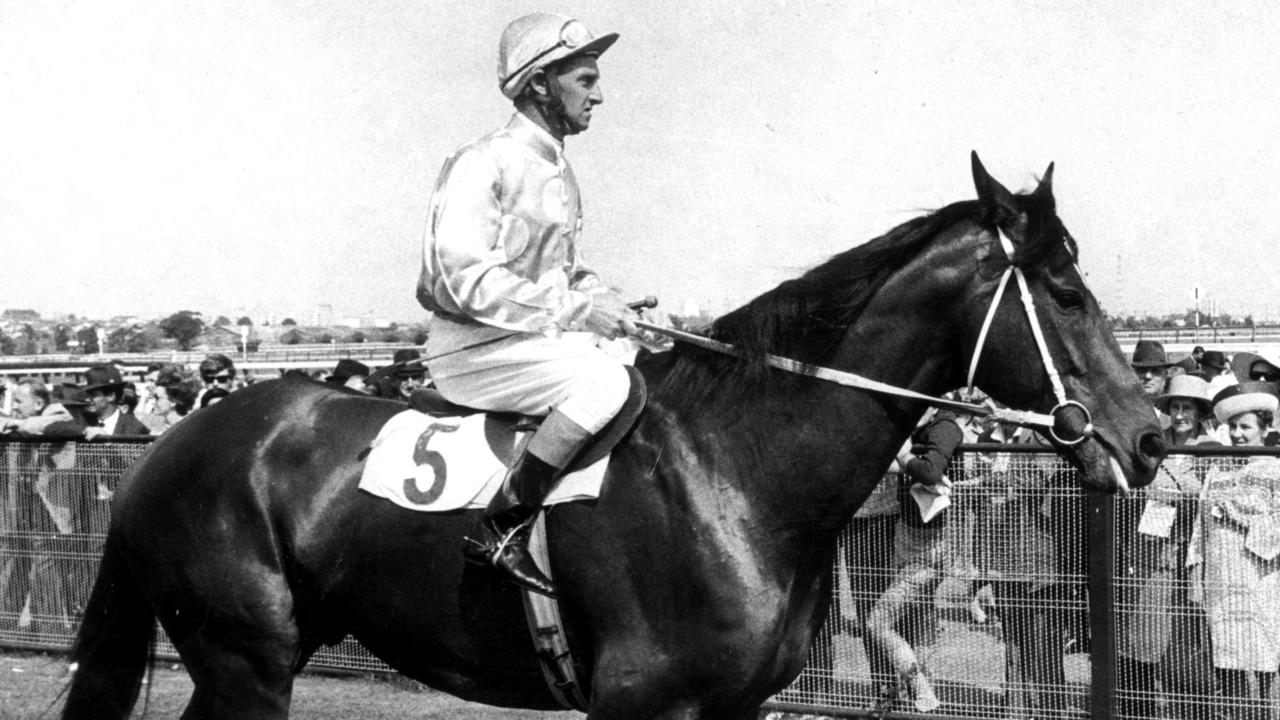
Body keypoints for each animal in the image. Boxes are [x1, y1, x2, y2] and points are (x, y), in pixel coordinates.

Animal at [60, 154, 1167, 717]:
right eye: (1065, 293)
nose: (1149, 435)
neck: (737, 481)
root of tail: (177, 444)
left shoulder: (733, 710)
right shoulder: (639, 706)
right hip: (244, 654)